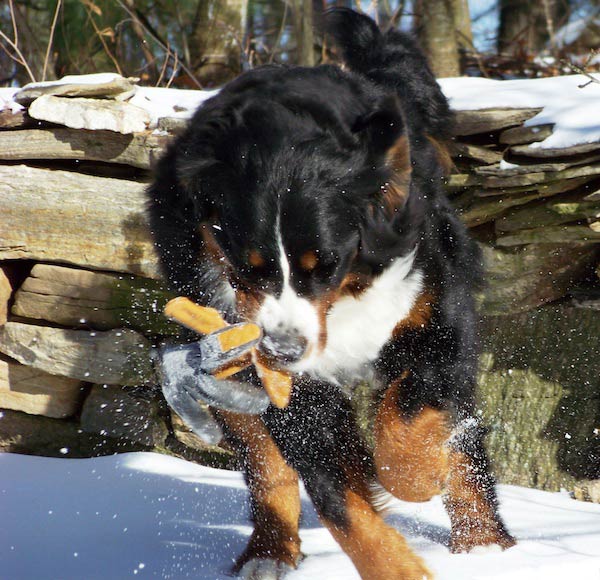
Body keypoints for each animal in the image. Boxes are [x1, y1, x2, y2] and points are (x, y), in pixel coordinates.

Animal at [146, 9, 516, 580]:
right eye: (247, 266)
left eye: (325, 265)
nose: (282, 349)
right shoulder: (284, 383)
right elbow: (337, 496)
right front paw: (398, 568)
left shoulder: (434, 313)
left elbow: (409, 426)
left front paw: (420, 476)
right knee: (265, 464)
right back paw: (267, 555)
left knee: (461, 440)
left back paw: (485, 546)